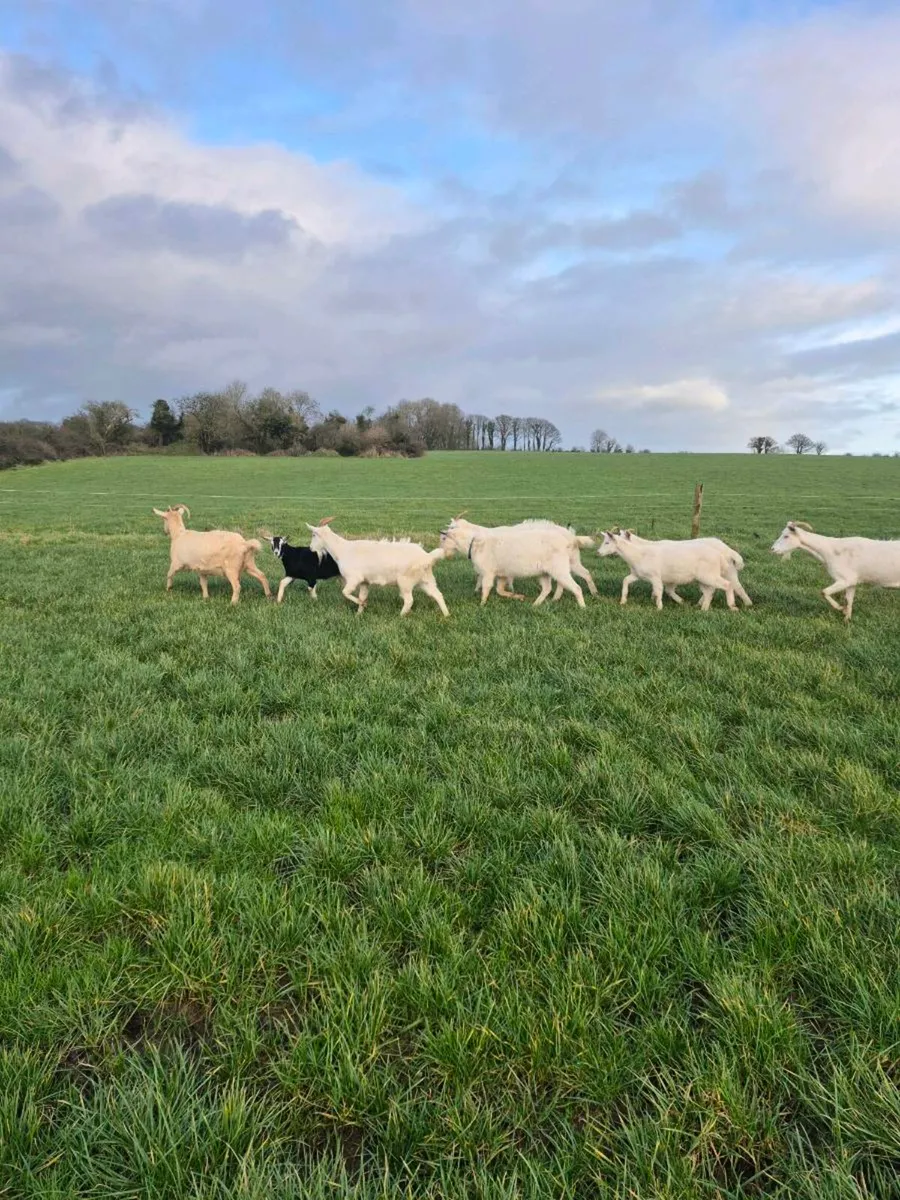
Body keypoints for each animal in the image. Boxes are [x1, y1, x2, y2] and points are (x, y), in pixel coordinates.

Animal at [306, 518, 449, 616]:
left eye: (313, 534)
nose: (311, 548)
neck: (342, 549)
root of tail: (427, 556)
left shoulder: (354, 578)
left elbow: (345, 592)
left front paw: (362, 605)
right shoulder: (364, 582)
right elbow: (362, 595)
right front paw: (359, 614)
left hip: (406, 582)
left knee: (409, 600)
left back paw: (400, 616)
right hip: (426, 580)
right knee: (438, 595)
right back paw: (446, 615)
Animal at [442, 516, 596, 603]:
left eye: (444, 537)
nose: (442, 551)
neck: (477, 538)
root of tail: (571, 537)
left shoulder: (490, 571)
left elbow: (486, 584)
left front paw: (481, 601)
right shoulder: (501, 573)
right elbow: (496, 587)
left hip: (562, 566)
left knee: (571, 583)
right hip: (569, 563)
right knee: (582, 575)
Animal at [598, 529, 740, 611]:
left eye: (607, 543)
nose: (598, 553)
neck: (639, 554)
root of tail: (720, 555)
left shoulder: (656, 576)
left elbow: (660, 590)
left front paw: (659, 607)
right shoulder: (638, 574)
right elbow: (625, 581)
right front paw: (623, 601)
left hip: (709, 575)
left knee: (727, 585)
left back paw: (732, 606)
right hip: (704, 577)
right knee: (709, 591)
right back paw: (703, 608)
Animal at [771, 520, 900, 621]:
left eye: (786, 536)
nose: (772, 549)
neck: (832, 550)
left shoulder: (844, 580)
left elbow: (824, 592)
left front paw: (840, 608)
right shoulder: (852, 582)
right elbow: (849, 600)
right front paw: (846, 619)